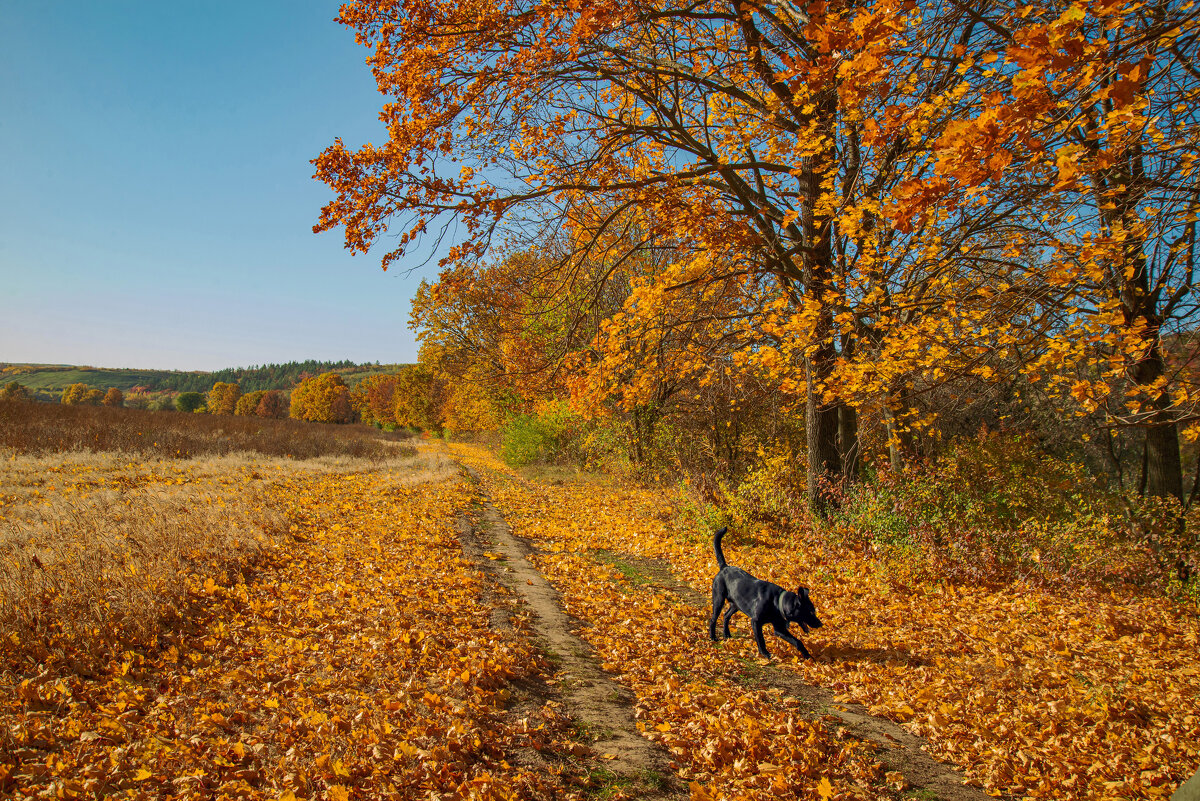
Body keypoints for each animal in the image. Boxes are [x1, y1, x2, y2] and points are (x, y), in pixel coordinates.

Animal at [705, 525, 820, 657]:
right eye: (810, 612)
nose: (820, 624)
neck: (777, 602)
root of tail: (724, 567)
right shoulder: (756, 622)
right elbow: (761, 639)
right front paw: (765, 653)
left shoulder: (780, 629)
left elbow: (797, 641)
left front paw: (807, 656)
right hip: (719, 599)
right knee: (713, 619)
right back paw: (713, 637)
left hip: (736, 604)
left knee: (726, 615)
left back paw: (727, 634)